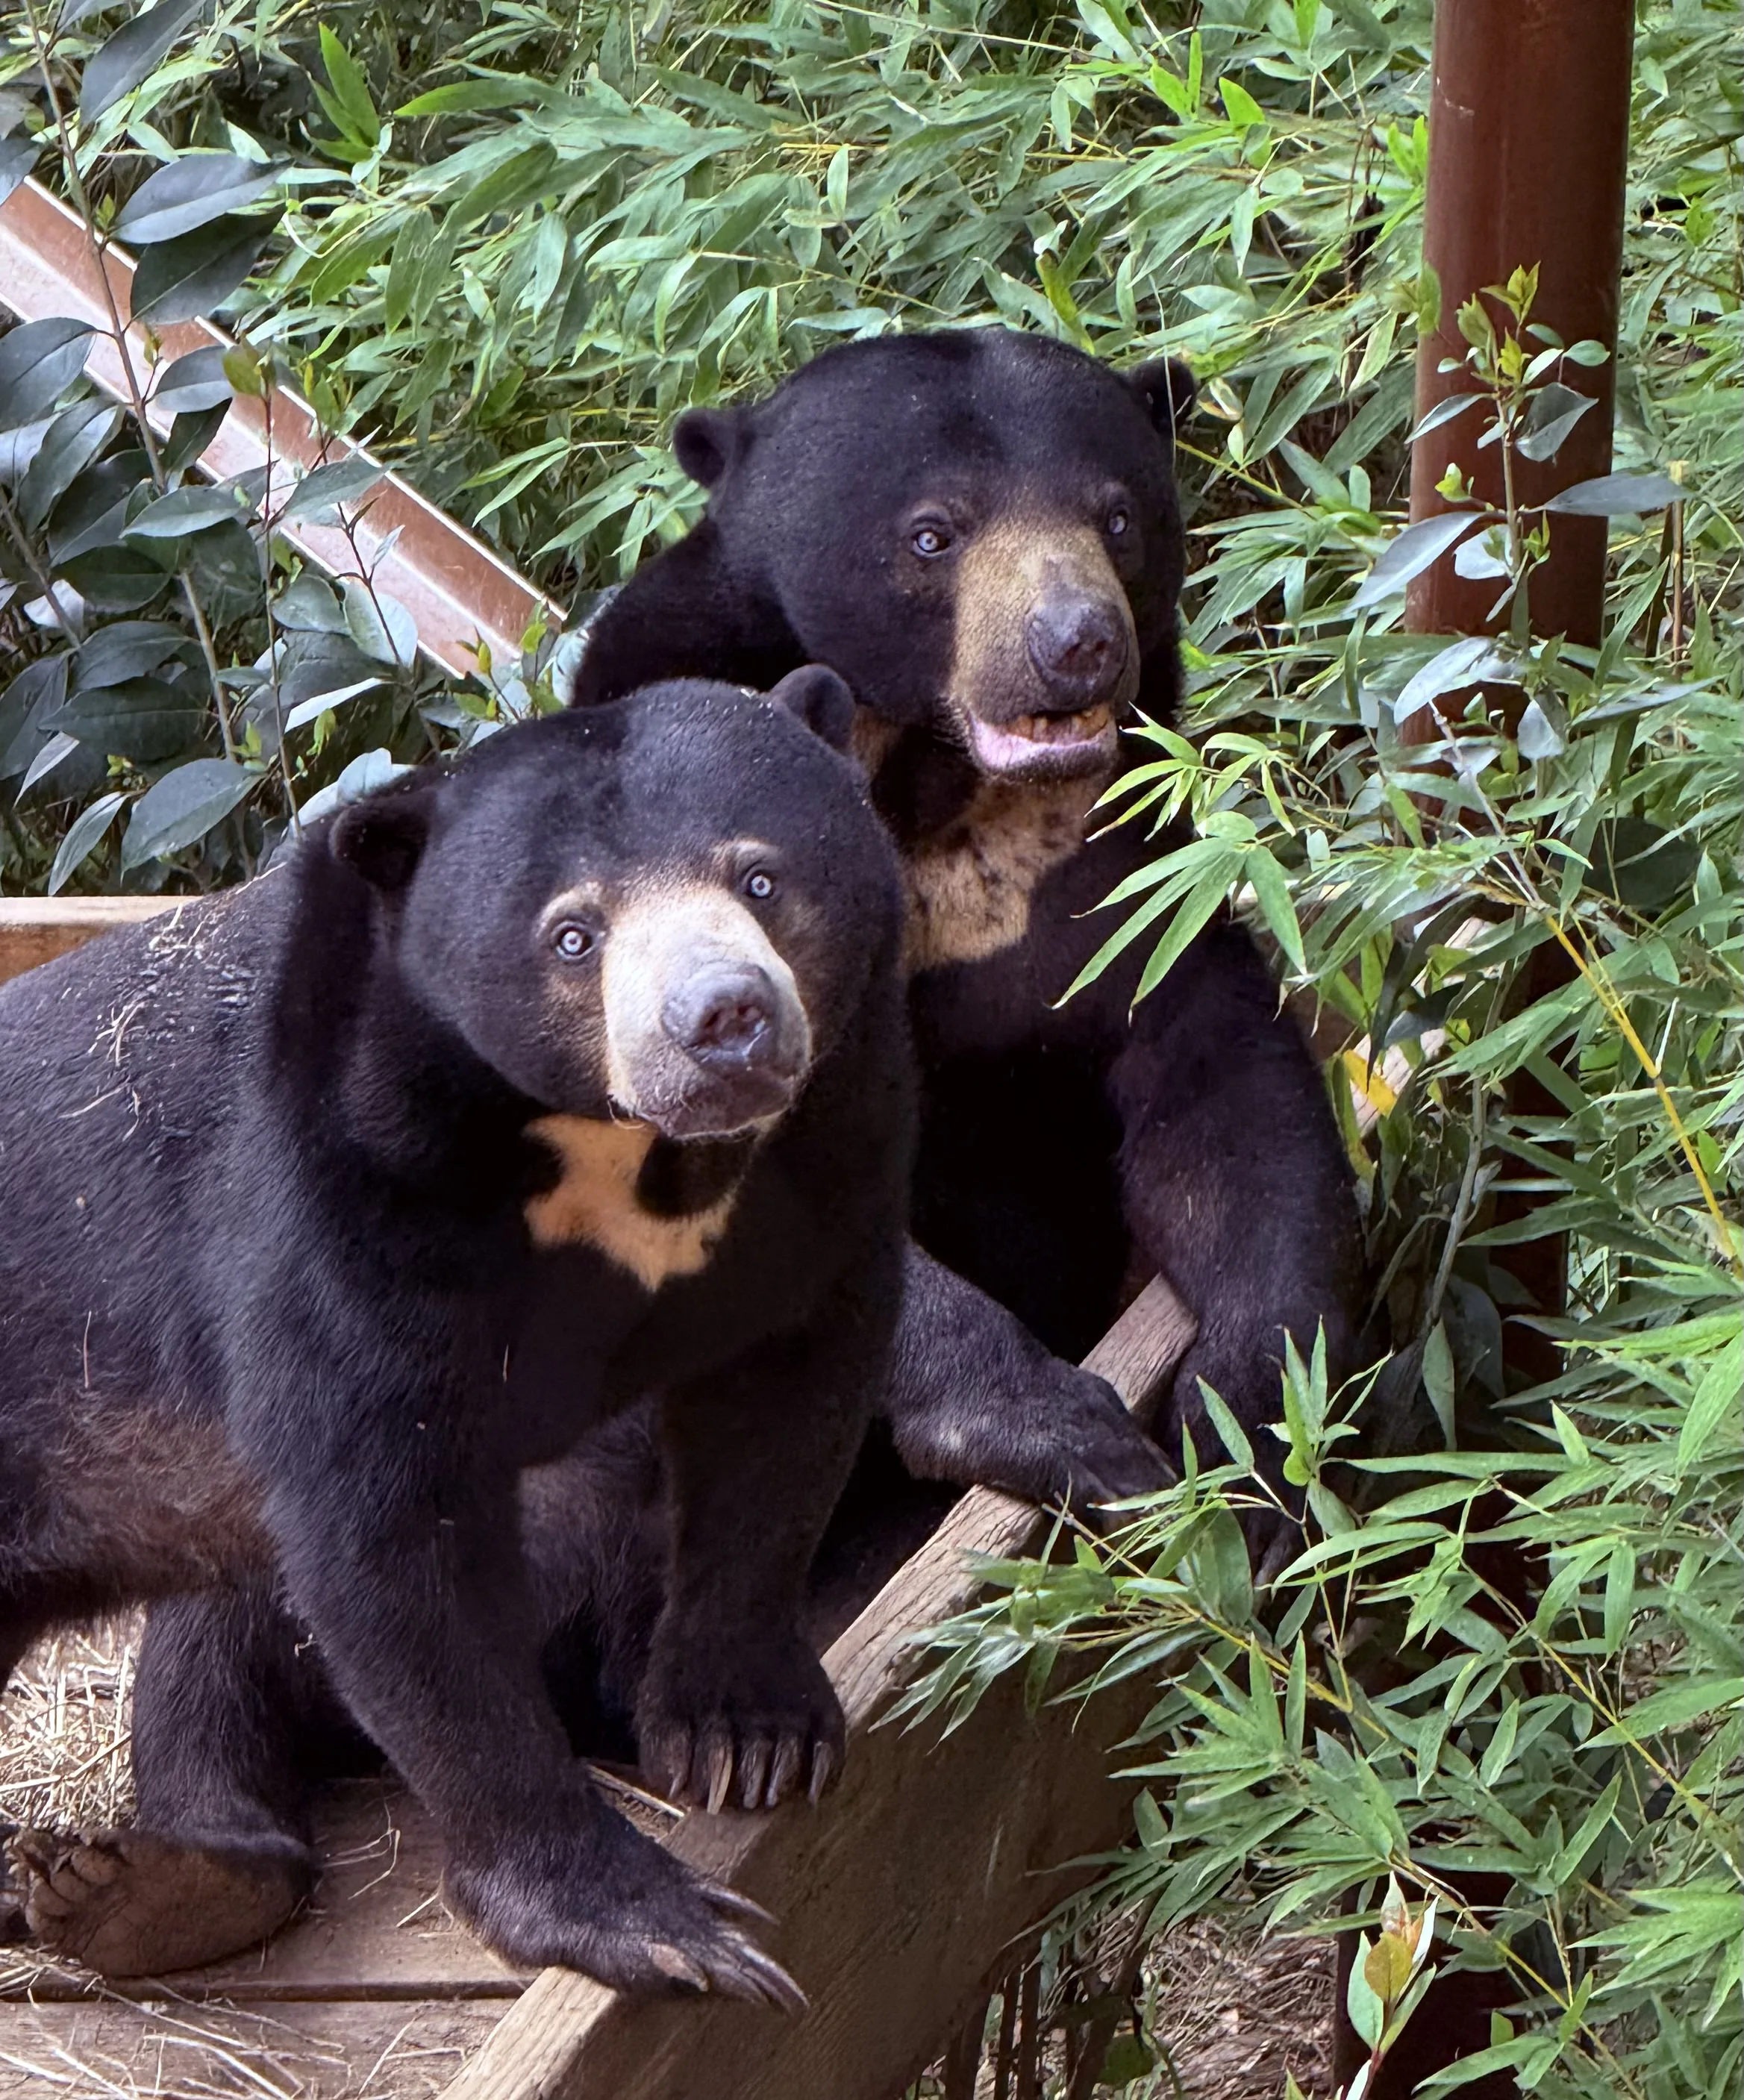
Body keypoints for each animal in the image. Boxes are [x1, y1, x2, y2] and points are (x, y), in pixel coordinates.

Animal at [0, 669, 921, 2004]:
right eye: (572, 934)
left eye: (759, 876)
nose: (724, 1023)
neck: (625, 1162)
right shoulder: (330, 1197)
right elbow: (395, 1541)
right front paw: (652, 1922)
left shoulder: (829, 1141)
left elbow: (785, 1398)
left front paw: (746, 1736)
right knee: (214, 1653)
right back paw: (136, 1887)